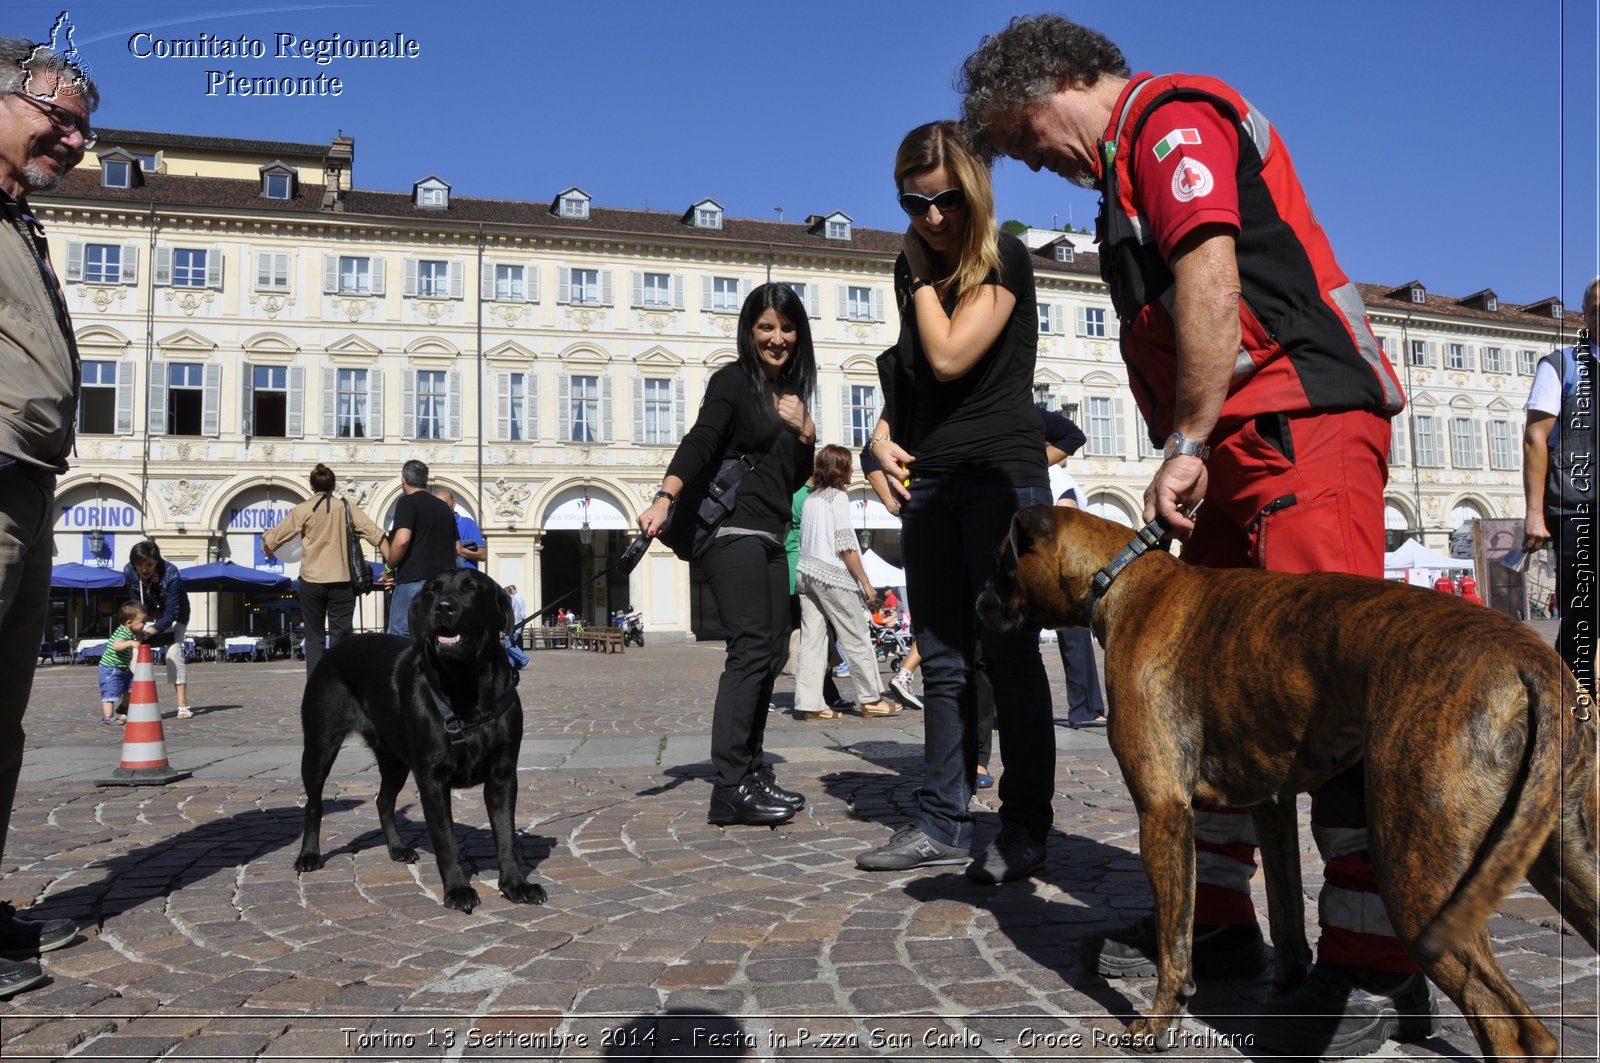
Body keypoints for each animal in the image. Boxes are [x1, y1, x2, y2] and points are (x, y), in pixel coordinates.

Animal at [294, 569, 550, 909]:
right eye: (431, 590)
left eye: (473, 587)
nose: (443, 607)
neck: (467, 688)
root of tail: (337, 648)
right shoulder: (432, 779)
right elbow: (445, 838)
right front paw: (457, 889)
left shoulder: (503, 775)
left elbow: (506, 835)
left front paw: (515, 884)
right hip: (320, 746)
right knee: (314, 804)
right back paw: (309, 854)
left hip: (394, 759)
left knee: (383, 800)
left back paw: (397, 848)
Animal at [979, 505, 1593, 1056]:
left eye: (1000, 564)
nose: (977, 600)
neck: (1125, 576)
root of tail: (1533, 662)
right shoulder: (1269, 806)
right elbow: (1286, 915)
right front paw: (1284, 991)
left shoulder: (1161, 808)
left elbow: (1175, 940)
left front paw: (1159, 1022)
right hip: (1563, 857)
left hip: (1423, 885)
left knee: (1513, 1029)